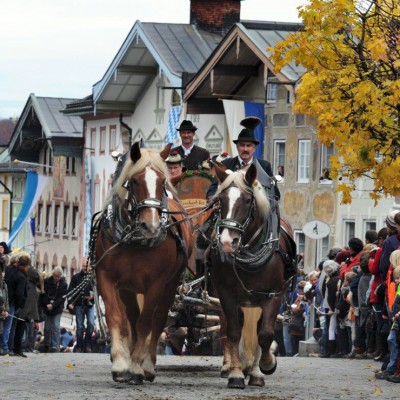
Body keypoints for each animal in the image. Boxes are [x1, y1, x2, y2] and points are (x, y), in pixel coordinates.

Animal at [94, 143, 194, 384]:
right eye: (135, 181)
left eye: (162, 182)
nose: (152, 226)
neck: (135, 241)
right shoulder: (107, 277)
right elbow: (117, 318)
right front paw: (121, 363)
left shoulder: (157, 283)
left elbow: (146, 322)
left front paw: (138, 365)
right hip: (129, 288)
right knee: (131, 316)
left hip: (171, 285)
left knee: (158, 319)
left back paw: (147, 364)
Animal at [206, 162, 296, 388]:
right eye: (220, 200)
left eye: (247, 200)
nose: (227, 242)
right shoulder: (226, 294)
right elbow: (233, 332)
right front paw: (236, 374)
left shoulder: (273, 295)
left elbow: (265, 334)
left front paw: (267, 364)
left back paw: (255, 373)